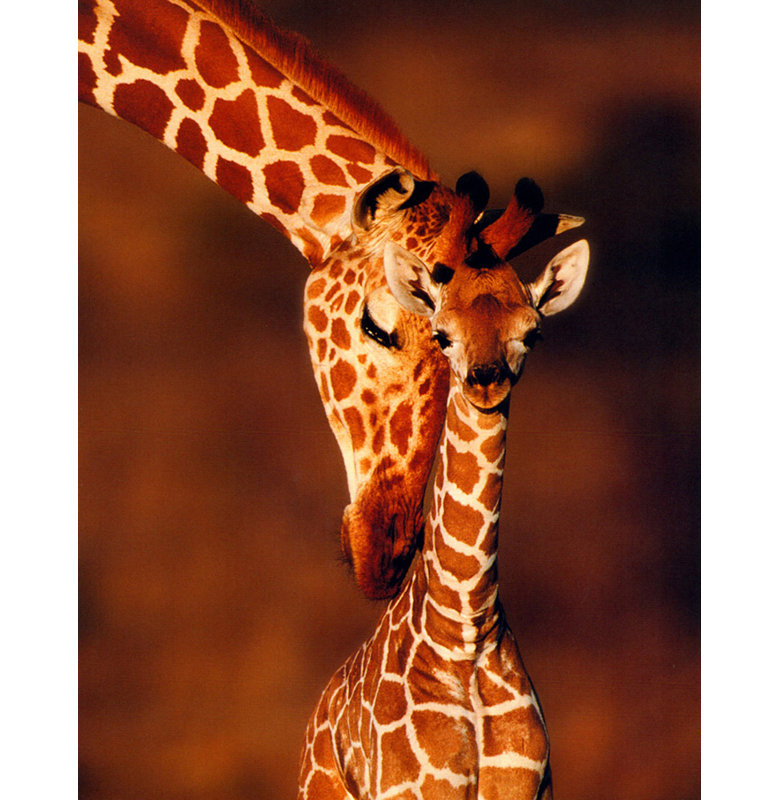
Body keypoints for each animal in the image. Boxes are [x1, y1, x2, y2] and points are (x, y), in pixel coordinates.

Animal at [298, 176, 590, 799]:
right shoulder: (411, 789)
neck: (466, 629)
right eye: (443, 334)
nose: (486, 381)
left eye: (532, 333)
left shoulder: (533, 787)